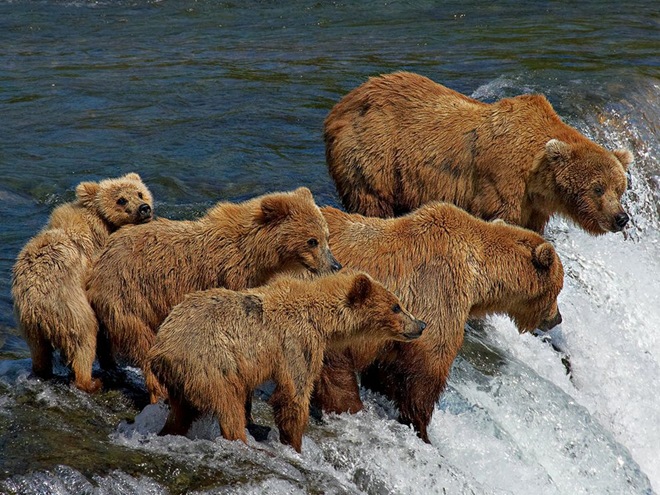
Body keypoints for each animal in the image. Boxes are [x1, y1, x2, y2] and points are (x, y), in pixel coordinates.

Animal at [11, 174, 153, 396]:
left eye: (140, 193)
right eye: (121, 199)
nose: (144, 208)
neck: (101, 226)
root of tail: (35, 301)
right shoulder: (96, 261)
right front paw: (111, 364)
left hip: (28, 325)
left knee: (40, 353)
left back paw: (42, 372)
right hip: (71, 309)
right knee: (84, 339)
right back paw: (91, 381)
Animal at [85, 188, 342, 404]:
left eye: (327, 236)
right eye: (312, 241)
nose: (335, 265)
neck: (257, 253)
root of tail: (99, 260)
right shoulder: (230, 275)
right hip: (131, 293)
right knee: (142, 340)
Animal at [148, 272, 426, 454]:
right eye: (396, 306)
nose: (421, 324)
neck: (321, 318)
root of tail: (160, 350)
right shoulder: (297, 341)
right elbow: (294, 393)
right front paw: (294, 443)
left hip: (182, 381)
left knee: (181, 414)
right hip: (210, 365)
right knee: (229, 406)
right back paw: (242, 441)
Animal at [312, 203, 564, 444]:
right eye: (558, 290)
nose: (558, 318)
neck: (477, 277)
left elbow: (386, 372)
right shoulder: (437, 293)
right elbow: (424, 372)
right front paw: (422, 430)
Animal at [324, 70, 636, 235]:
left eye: (620, 188)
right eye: (597, 188)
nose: (621, 218)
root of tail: (341, 105)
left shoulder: (534, 206)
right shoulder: (502, 181)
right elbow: (498, 217)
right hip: (375, 154)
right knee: (371, 199)